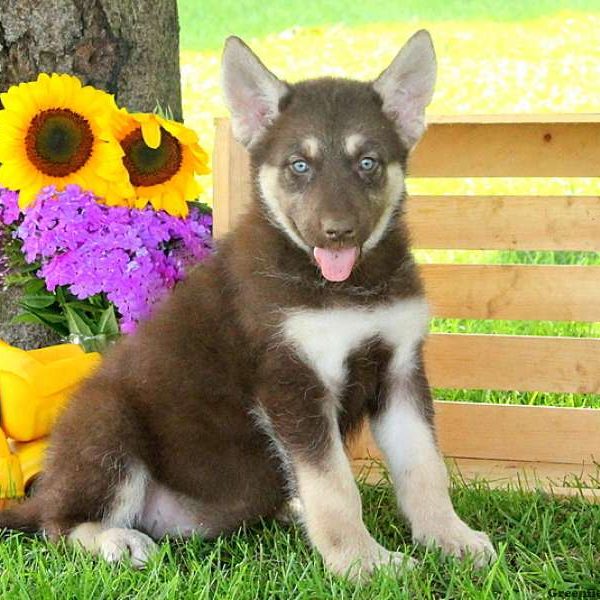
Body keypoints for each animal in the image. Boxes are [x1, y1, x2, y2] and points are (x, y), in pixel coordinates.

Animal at [0, 30, 494, 580]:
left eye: (367, 162)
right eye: (300, 165)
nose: (338, 232)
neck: (347, 287)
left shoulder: (400, 368)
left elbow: (424, 467)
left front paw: (450, 539)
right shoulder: (291, 382)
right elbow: (335, 487)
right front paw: (362, 562)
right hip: (107, 423)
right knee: (58, 525)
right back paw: (117, 540)